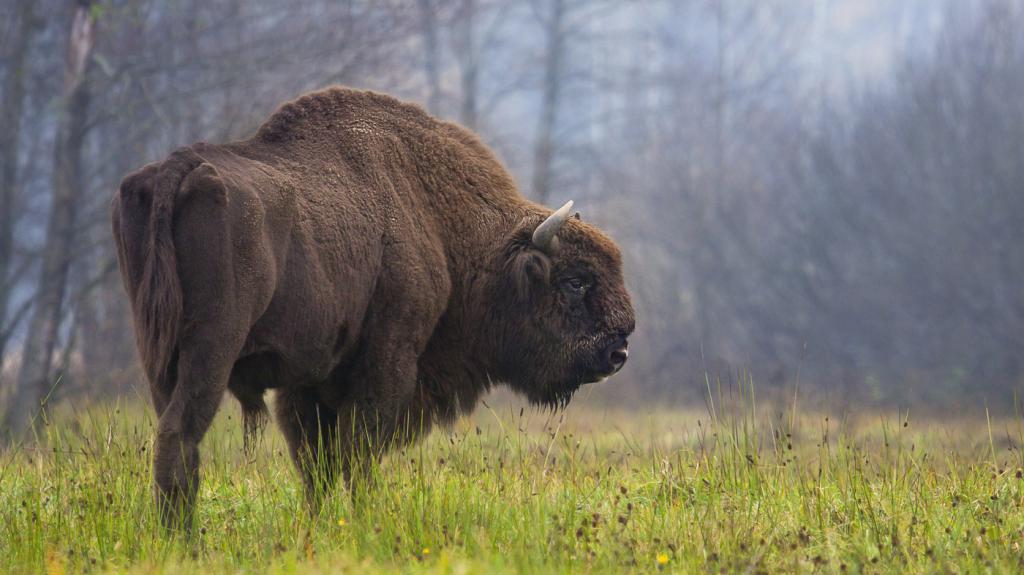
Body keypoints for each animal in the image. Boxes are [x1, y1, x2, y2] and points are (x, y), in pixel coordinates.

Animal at [116, 87, 634, 527]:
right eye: (575, 281)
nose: (618, 351)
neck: (441, 223)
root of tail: (177, 168)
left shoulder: (307, 382)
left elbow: (318, 463)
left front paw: (320, 525)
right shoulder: (386, 363)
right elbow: (357, 454)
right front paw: (365, 521)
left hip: (157, 355)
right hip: (212, 349)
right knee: (180, 434)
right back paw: (185, 538)